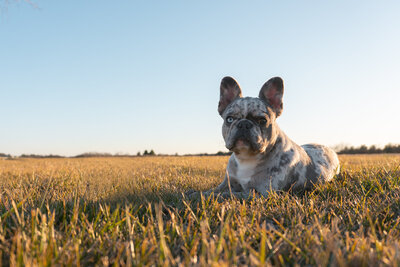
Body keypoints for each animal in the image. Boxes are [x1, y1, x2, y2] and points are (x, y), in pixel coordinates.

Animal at [188, 76, 338, 200]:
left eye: (262, 120)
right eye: (229, 119)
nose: (244, 124)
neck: (247, 158)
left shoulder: (261, 193)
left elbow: (227, 195)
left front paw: (200, 196)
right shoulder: (227, 183)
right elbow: (212, 191)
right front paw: (195, 193)